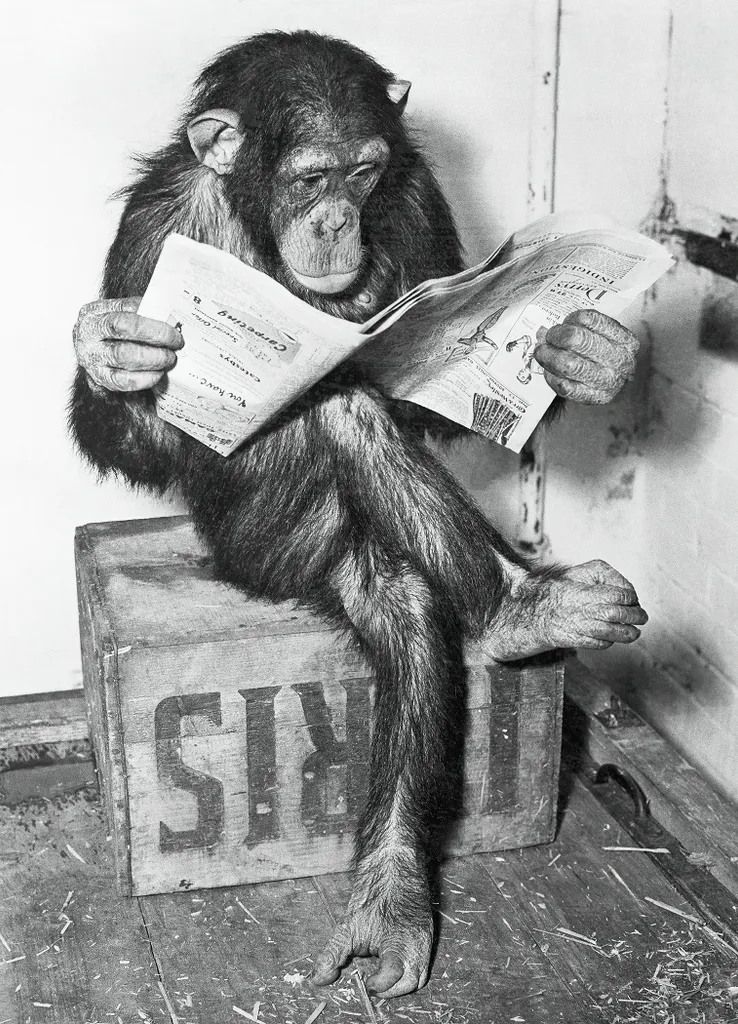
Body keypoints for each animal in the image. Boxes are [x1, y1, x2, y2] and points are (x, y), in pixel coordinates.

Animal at [70, 31, 647, 999]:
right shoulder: (155, 227)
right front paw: (114, 350)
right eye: (310, 178)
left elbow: (426, 393)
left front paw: (585, 354)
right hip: (271, 547)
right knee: (345, 433)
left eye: (364, 172)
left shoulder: (416, 198)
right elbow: (141, 437)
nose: (338, 218)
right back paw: (519, 611)